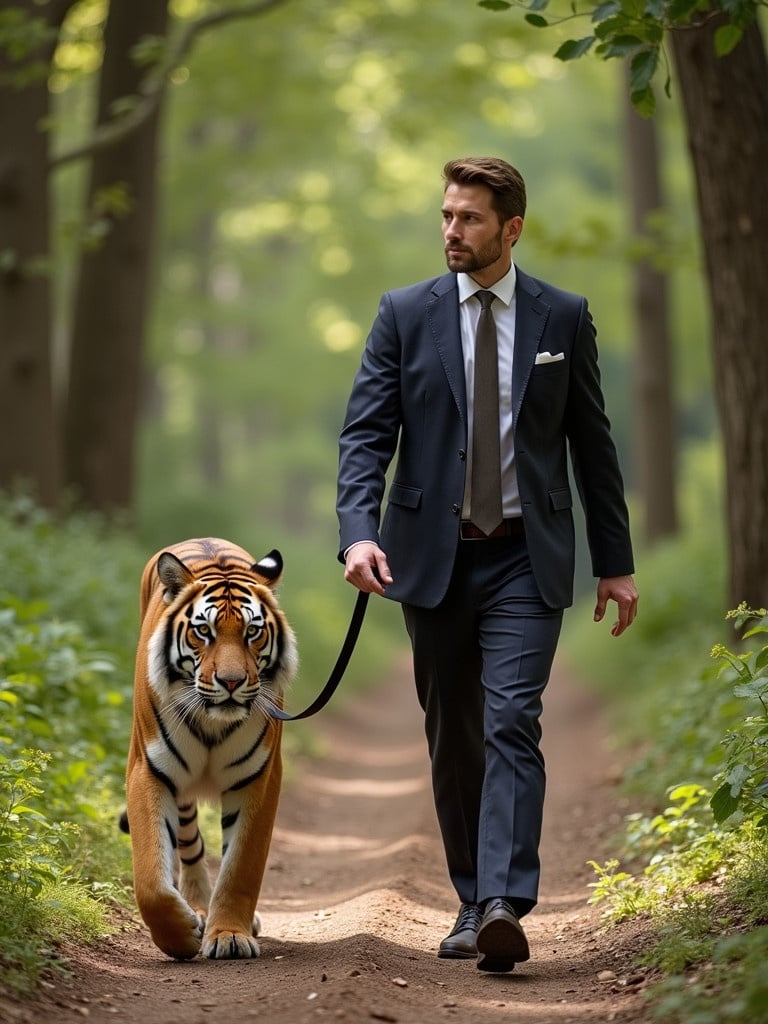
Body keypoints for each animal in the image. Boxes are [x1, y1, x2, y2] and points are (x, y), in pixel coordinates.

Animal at [122, 536, 296, 958]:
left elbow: (241, 866)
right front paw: (181, 936)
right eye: (204, 631)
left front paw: (230, 934)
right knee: (189, 841)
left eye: (252, 632)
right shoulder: (147, 770)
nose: (231, 681)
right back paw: (197, 909)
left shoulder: (260, 778)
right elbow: (150, 879)